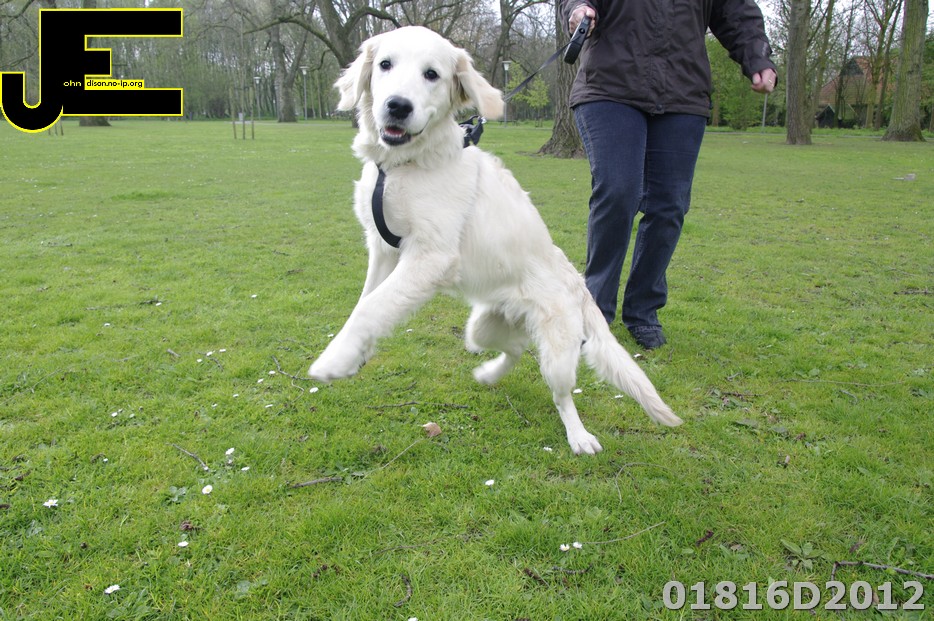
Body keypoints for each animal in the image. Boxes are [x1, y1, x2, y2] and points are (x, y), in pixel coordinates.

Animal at [309, 26, 682, 454]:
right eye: (385, 64)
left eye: (432, 74)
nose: (397, 106)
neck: (401, 166)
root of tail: (580, 286)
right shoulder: (384, 249)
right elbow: (367, 303)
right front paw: (353, 354)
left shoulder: (430, 256)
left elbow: (372, 308)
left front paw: (332, 362)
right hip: (483, 326)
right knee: (515, 349)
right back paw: (488, 374)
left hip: (558, 351)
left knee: (562, 394)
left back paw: (579, 437)